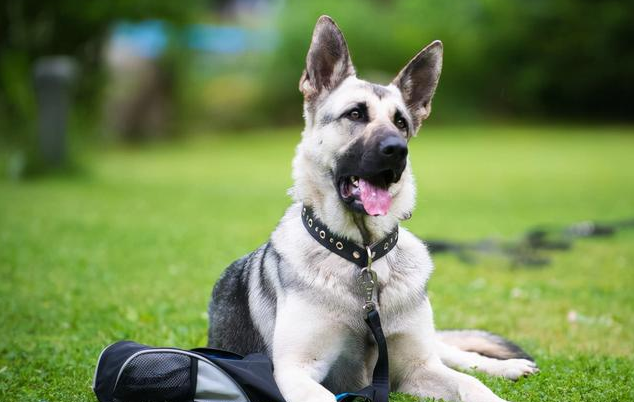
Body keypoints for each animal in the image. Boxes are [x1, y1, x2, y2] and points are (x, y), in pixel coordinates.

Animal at [210, 15, 536, 402]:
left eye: (401, 123)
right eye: (355, 114)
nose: (398, 151)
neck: (362, 256)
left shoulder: (416, 368)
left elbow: (470, 384)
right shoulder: (295, 371)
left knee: (456, 355)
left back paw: (507, 366)